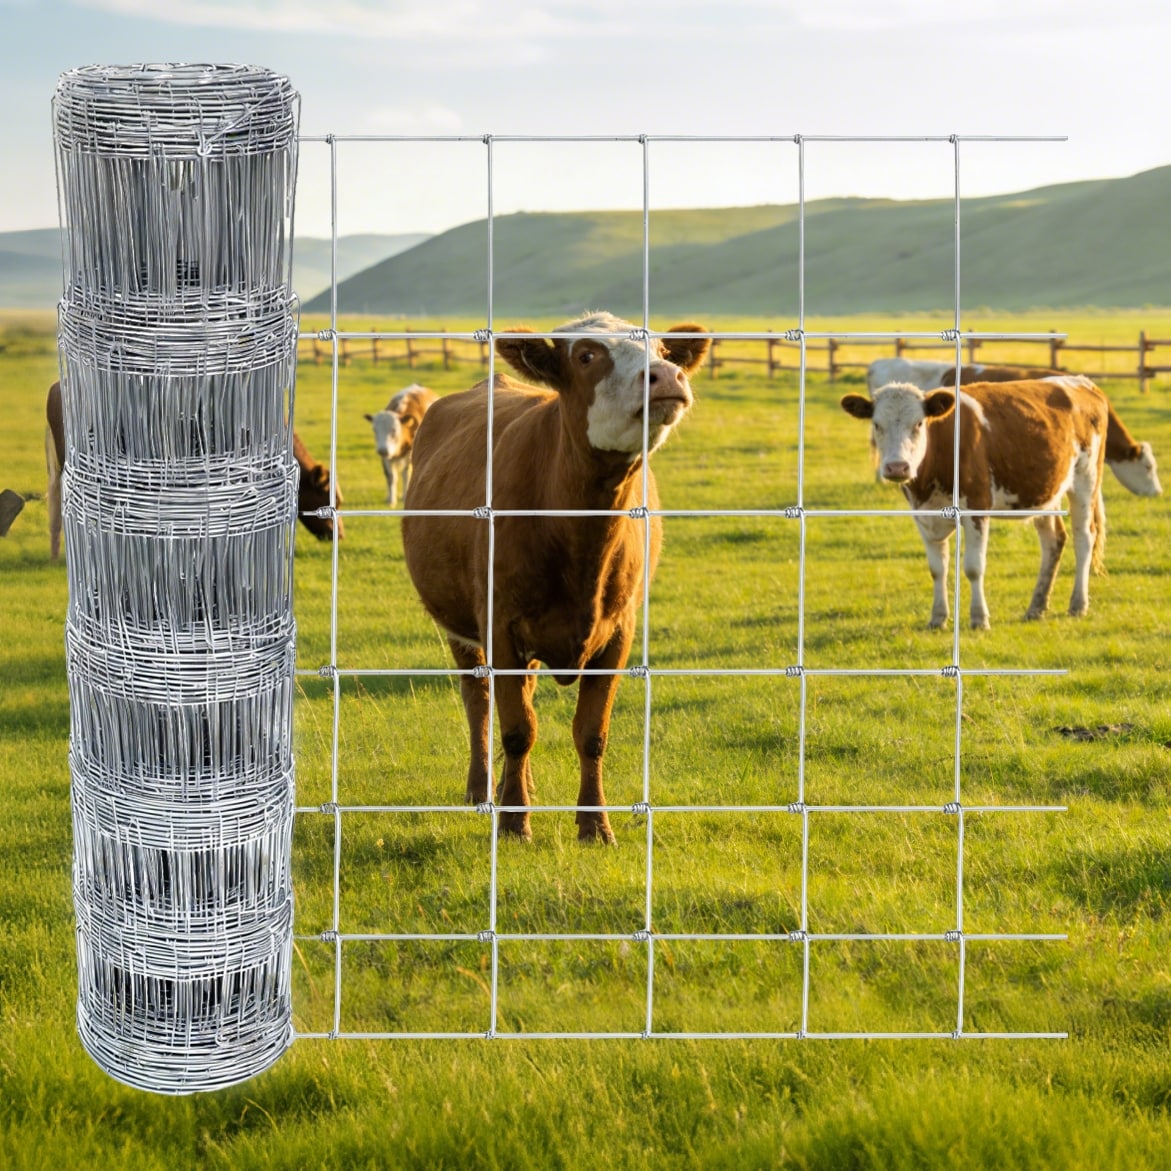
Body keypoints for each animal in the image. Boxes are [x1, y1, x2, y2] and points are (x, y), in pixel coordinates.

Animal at [402, 312, 709, 843]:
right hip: (461, 628)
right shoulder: (499, 625)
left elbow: (591, 733)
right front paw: (514, 824)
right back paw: (483, 789)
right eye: (586, 355)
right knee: (480, 701)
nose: (667, 377)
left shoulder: (619, 631)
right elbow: (517, 728)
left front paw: (594, 826)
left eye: (663, 352)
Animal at [840, 378, 1119, 629]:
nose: (897, 467)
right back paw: (1036, 607)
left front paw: (979, 618)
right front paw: (938, 618)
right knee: (1053, 541)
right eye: (877, 425)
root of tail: (1082, 382)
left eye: (918, 423)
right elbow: (937, 569)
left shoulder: (976, 506)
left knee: (1084, 537)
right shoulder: (922, 514)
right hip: (1045, 491)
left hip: (1085, 479)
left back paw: (1078, 604)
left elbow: (974, 567)